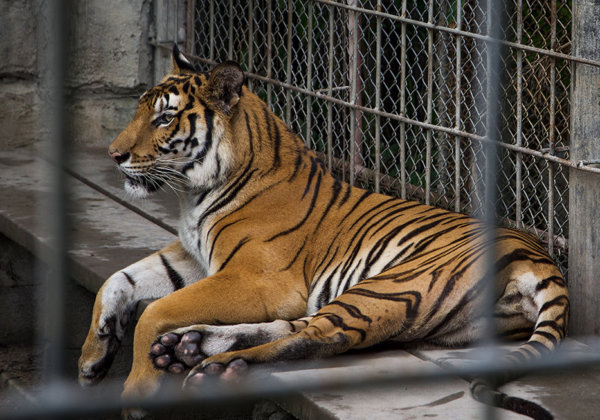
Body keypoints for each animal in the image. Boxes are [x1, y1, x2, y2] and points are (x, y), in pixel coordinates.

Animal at [78, 46, 568, 420]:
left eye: (164, 120)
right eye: (141, 110)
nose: (115, 155)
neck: (193, 195)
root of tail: (539, 258)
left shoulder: (257, 278)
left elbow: (156, 311)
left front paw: (137, 390)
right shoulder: (191, 256)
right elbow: (119, 280)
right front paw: (91, 357)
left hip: (392, 285)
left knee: (320, 337)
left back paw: (213, 363)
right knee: (301, 328)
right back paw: (191, 345)